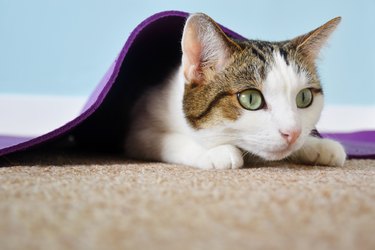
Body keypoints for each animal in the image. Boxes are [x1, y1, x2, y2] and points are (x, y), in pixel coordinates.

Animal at [125, 12, 348, 169]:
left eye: (304, 97)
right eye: (251, 99)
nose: (292, 133)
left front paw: (317, 145)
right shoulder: (136, 132)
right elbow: (167, 140)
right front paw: (215, 151)